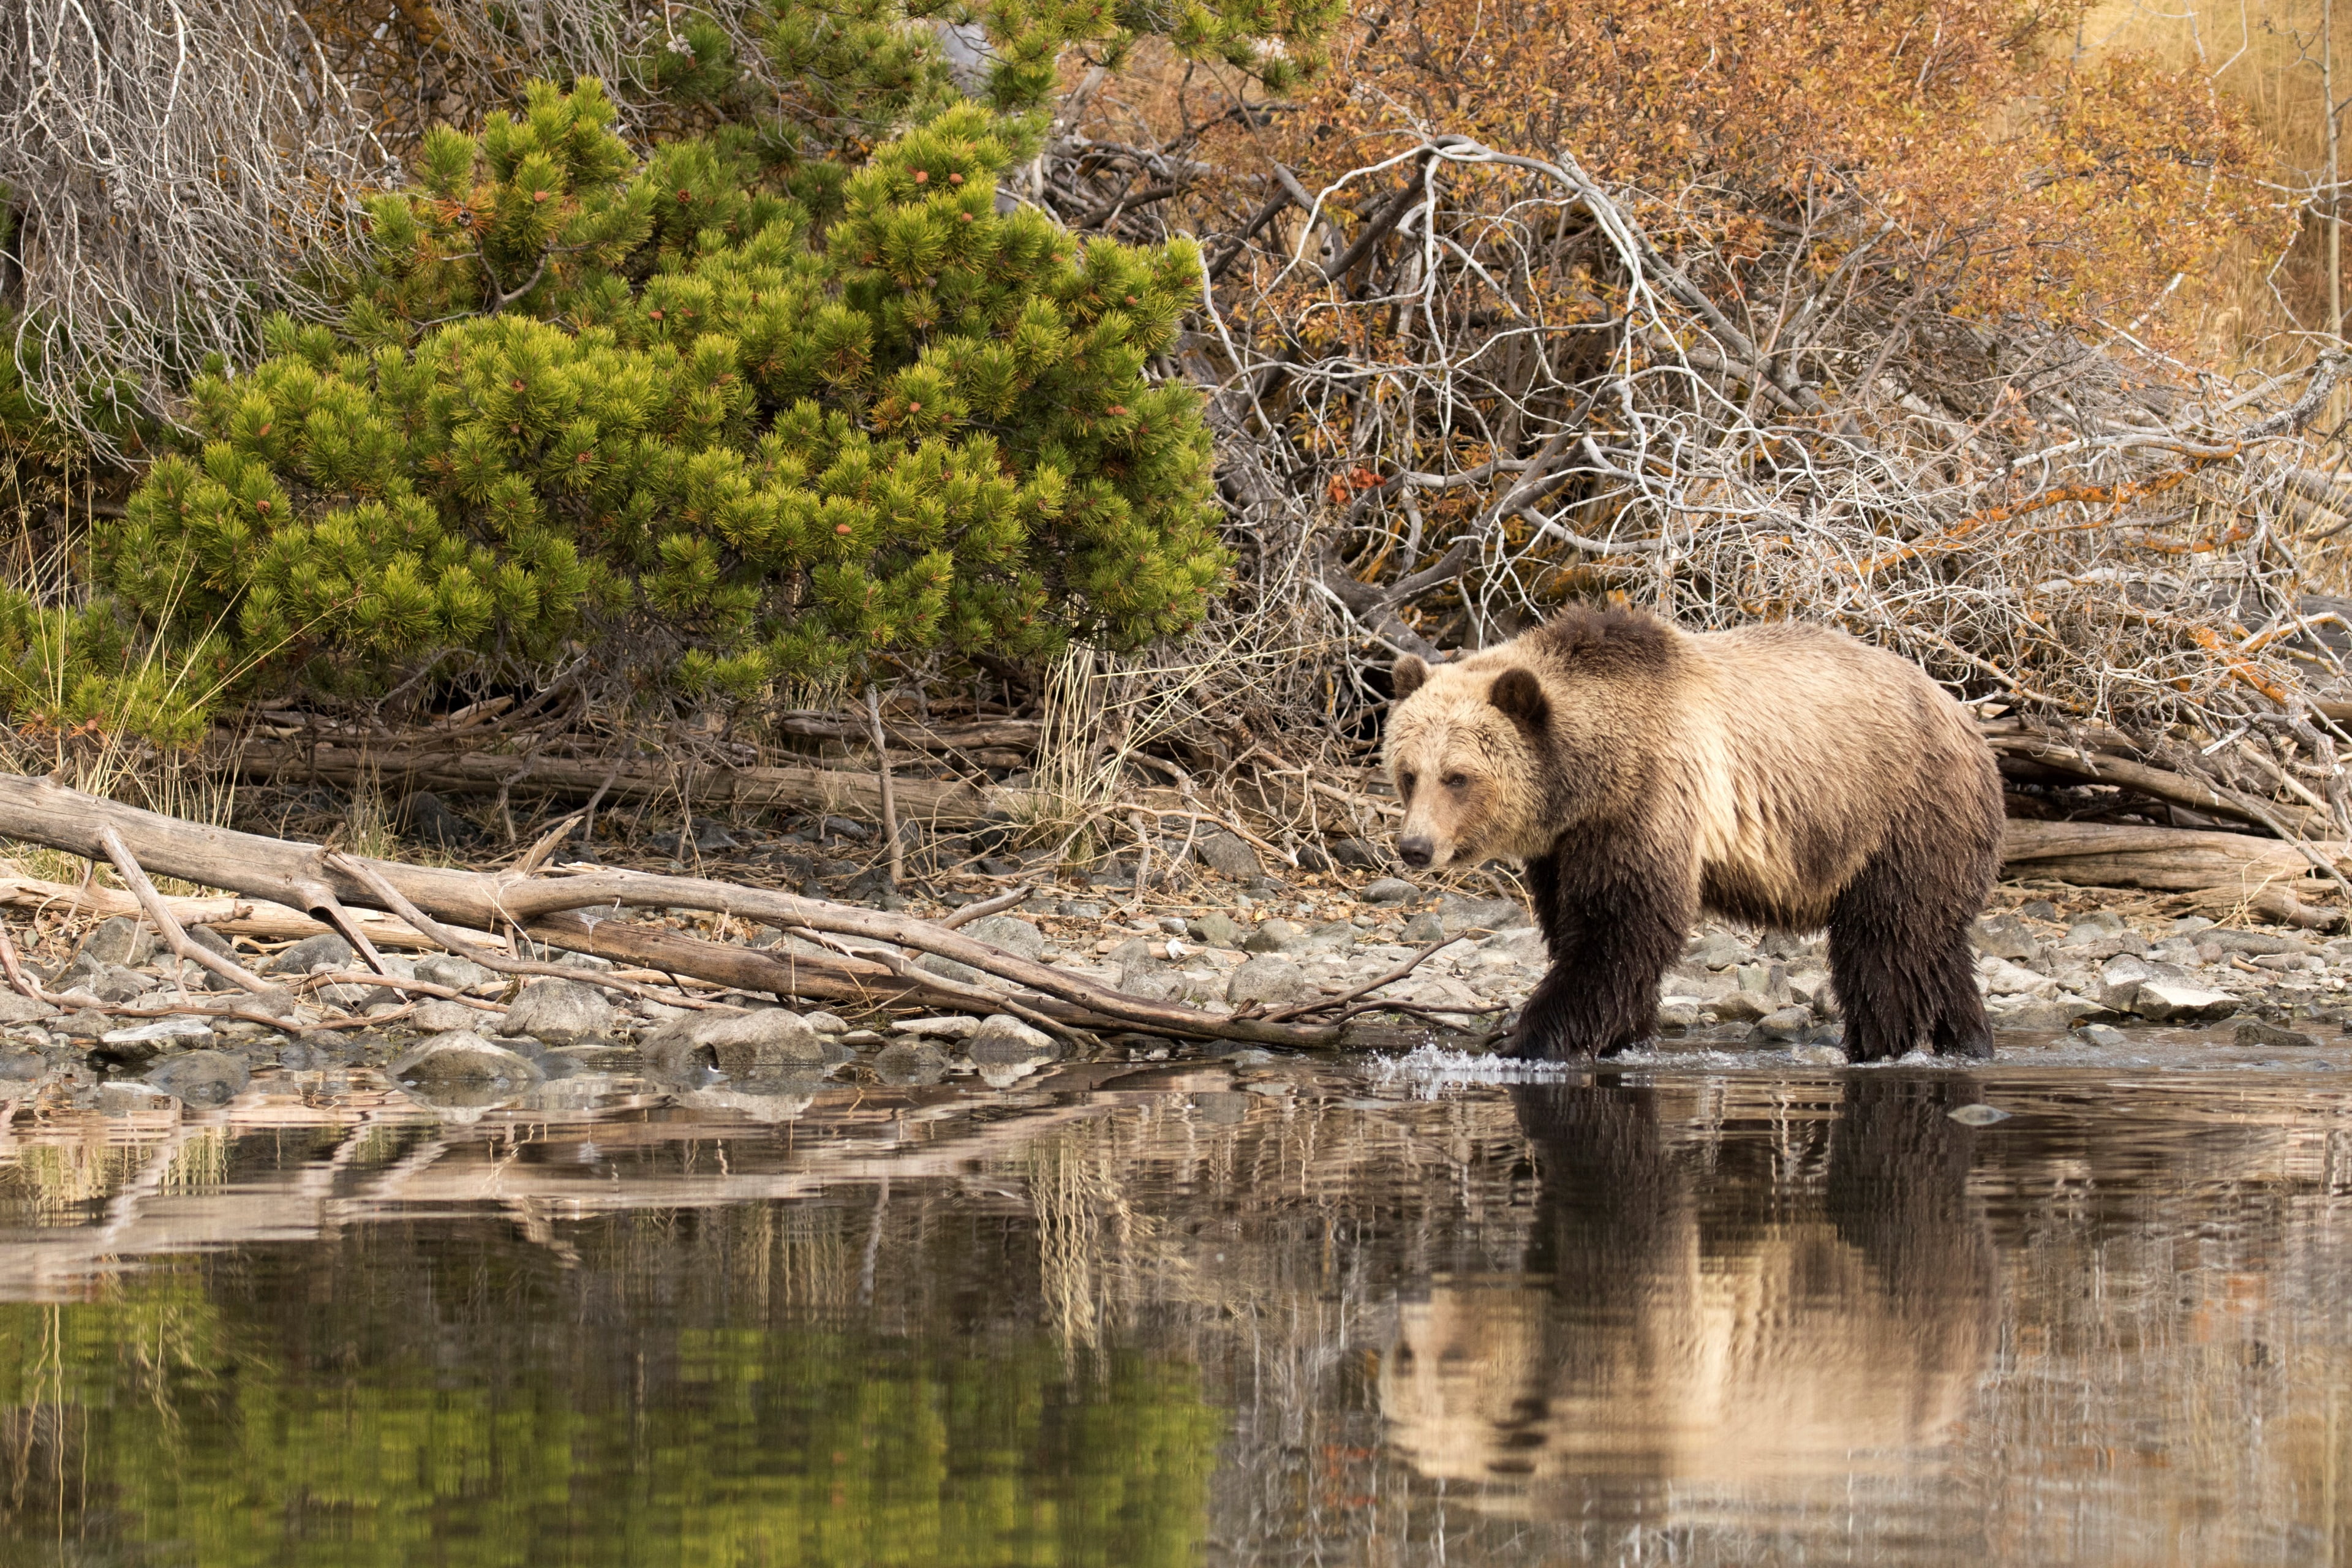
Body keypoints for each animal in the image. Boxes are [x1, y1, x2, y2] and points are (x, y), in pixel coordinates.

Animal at [1382, 605, 2004, 1063]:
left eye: (1458, 777)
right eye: (1409, 773)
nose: (1415, 848)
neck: (1590, 777)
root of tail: (1965, 715)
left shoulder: (1648, 799)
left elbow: (1620, 929)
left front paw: (1528, 1039)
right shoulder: (1567, 844)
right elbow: (1575, 924)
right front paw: (1619, 1035)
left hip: (1900, 813)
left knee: (1886, 944)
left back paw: (1880, 1045)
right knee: (1937, 944)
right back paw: (1969, 1040)